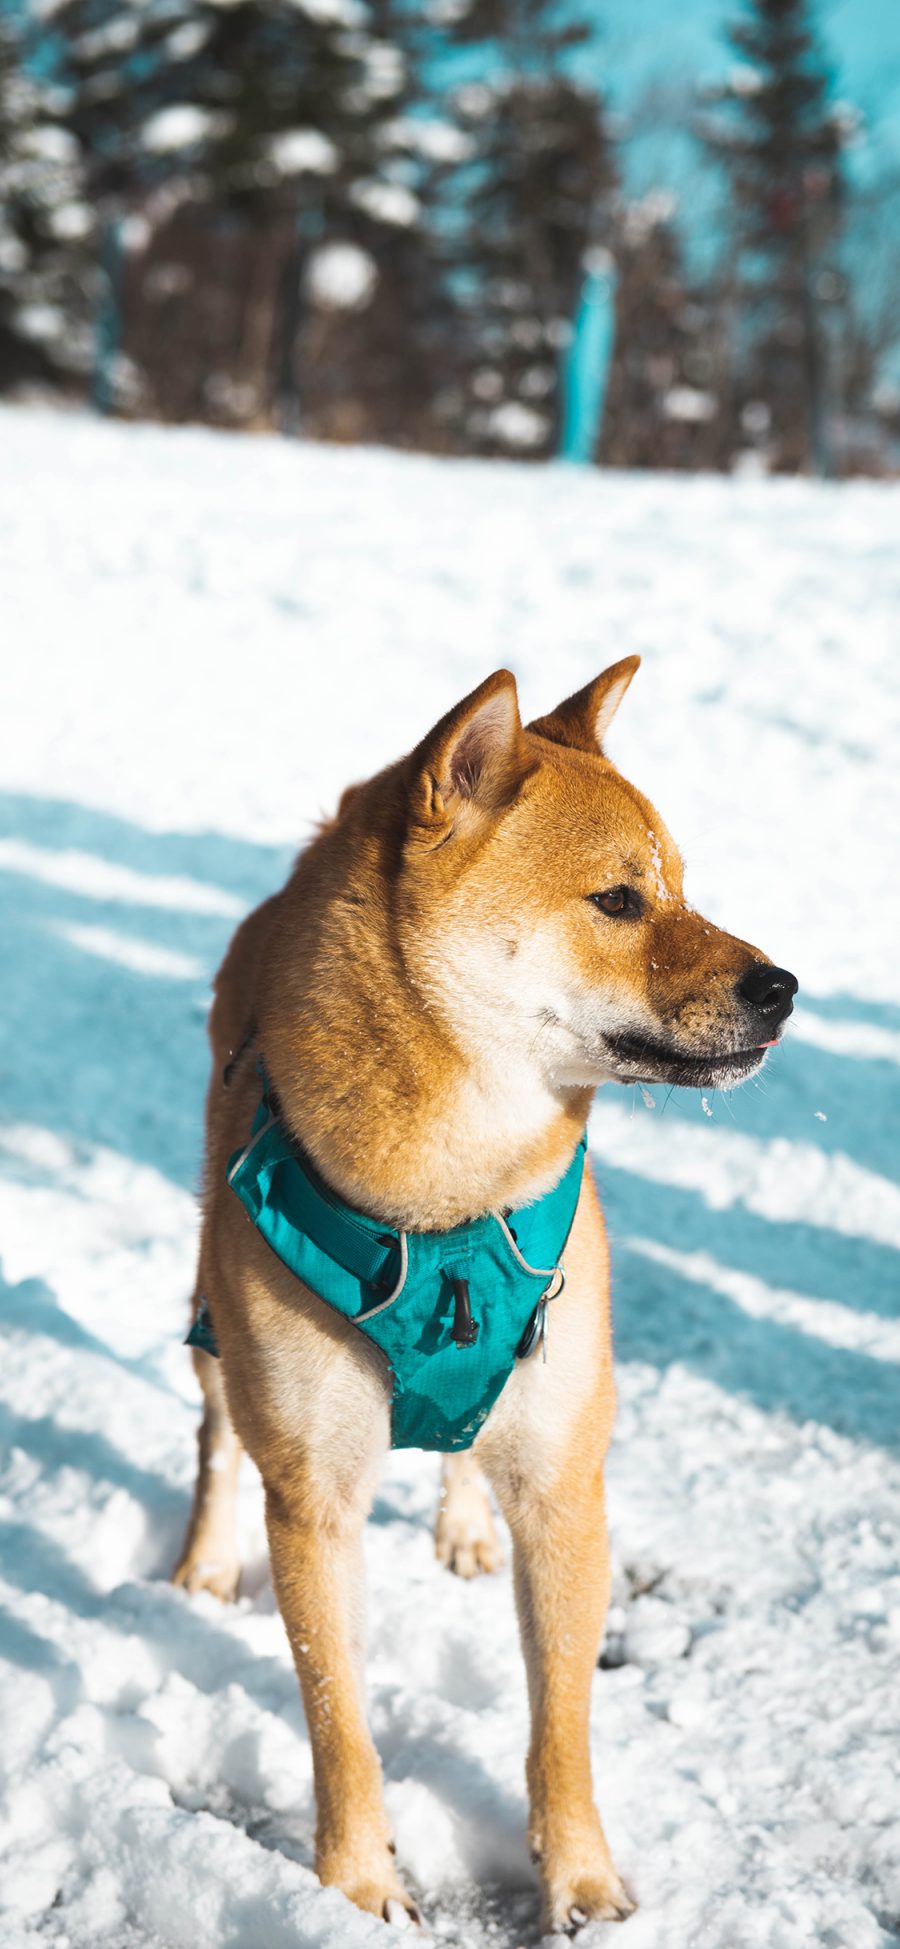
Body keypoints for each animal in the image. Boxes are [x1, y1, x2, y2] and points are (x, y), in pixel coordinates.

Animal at [174, 666, 794, 1933]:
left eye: (683, 885)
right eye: (618, 898)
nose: (786, 989)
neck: (450, 1205)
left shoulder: (564, 1484)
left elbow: (561, 1716)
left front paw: (583, 1882)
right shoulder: (314, 1496)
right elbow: (338, 1719)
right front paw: (356, 1886)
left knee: (466, 1445)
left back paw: (462, 1517)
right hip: (214, 1307)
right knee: (215, 1432)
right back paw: (204, 1560)